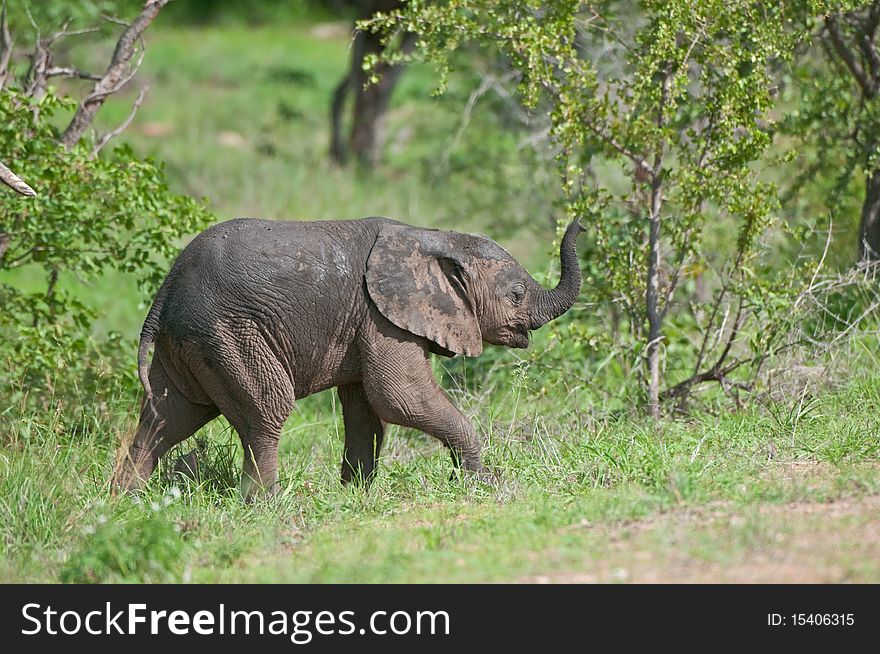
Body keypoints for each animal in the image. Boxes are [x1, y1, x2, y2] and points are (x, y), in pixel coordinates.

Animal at [117, 218, 584, 500]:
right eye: (517, 294)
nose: (578, 222)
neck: (435, 237)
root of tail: (165, 290)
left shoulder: (367, 321)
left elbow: (365, 411)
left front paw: (355, 496)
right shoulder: (383, 318)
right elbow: (400, 398)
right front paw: (482, 481)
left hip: (190, 342)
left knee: (167, 418)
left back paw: (124, 500)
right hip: (228, 333)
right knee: (265, 412)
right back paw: (267, 505)